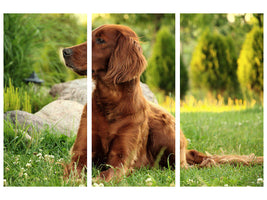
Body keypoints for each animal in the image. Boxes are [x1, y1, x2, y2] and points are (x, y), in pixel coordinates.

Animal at [63, 24, 264, 182]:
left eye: (100, 40)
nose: (65, 51)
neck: (111, 102)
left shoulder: (121, 159)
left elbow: (106, 175)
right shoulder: (81, 153)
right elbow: (73, 172)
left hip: (164, 130)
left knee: (192, 165)